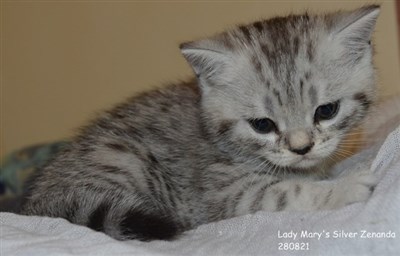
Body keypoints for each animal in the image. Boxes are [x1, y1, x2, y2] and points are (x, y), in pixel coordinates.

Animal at [22, 6, 382, 242]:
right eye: (262, 125)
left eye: (327, 111)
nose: (301, 148)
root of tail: (37, 205)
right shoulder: (225, 193)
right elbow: (287, 193)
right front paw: (348, 186)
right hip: (122, 158)